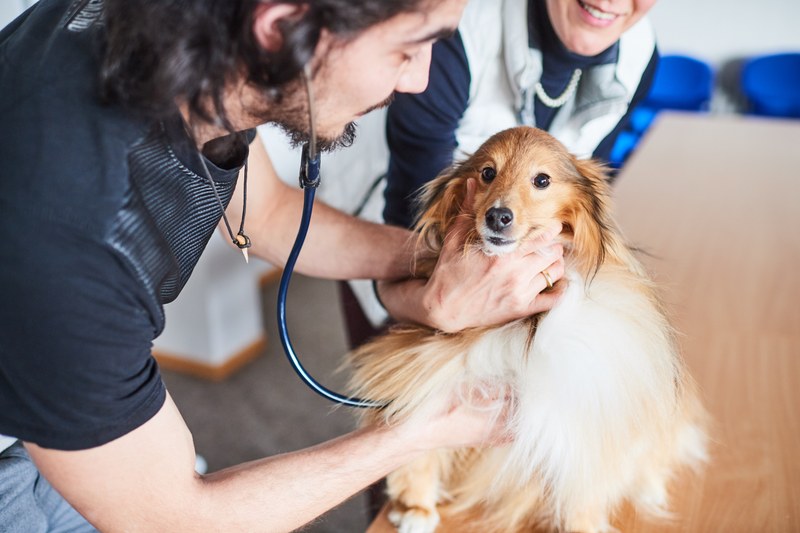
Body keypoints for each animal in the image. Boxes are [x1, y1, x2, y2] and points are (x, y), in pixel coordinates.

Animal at [346, 127, 708, 528]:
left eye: (542, 180)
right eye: (488, 173)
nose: (498, 217)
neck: (525, 325)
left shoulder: (588, 413)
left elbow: (584, 491)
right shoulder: (427, 374)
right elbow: (418, 451)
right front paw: (416, 509)